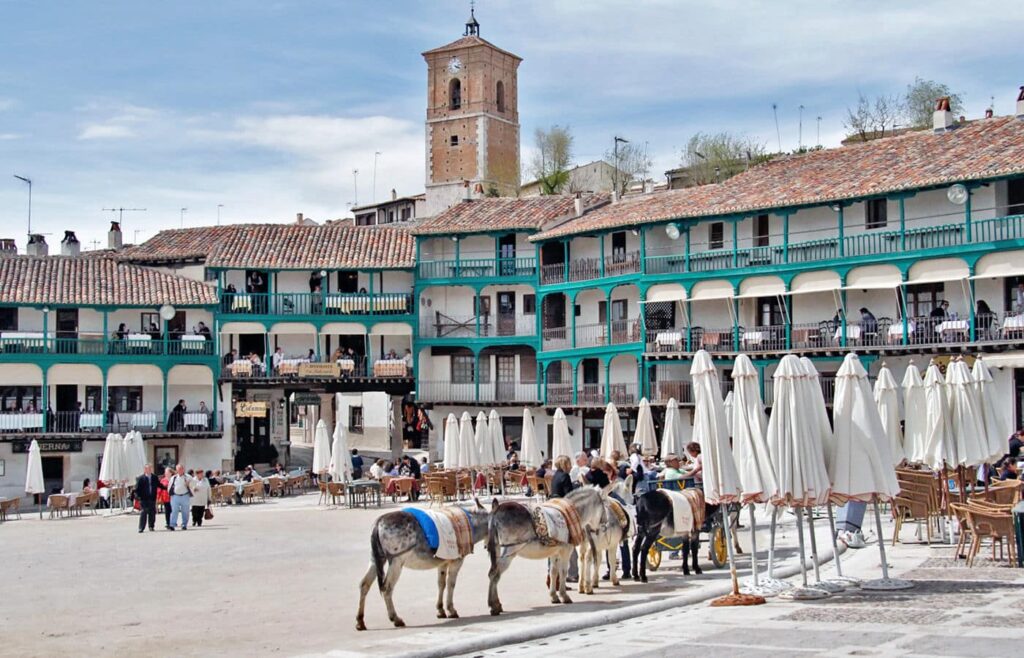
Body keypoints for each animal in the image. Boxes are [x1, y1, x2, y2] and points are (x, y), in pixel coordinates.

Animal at [356, 499, 491, 634]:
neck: (469, 524)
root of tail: (378, 523)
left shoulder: (443, 562)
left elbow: (441, 584)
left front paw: (440, 610)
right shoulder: (456, 562)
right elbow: (451, 584)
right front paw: (451, 610)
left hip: (375, 559)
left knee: (364, 585)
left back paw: (360, 621)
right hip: (396, 562)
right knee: (387, 589)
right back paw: (395, 618)